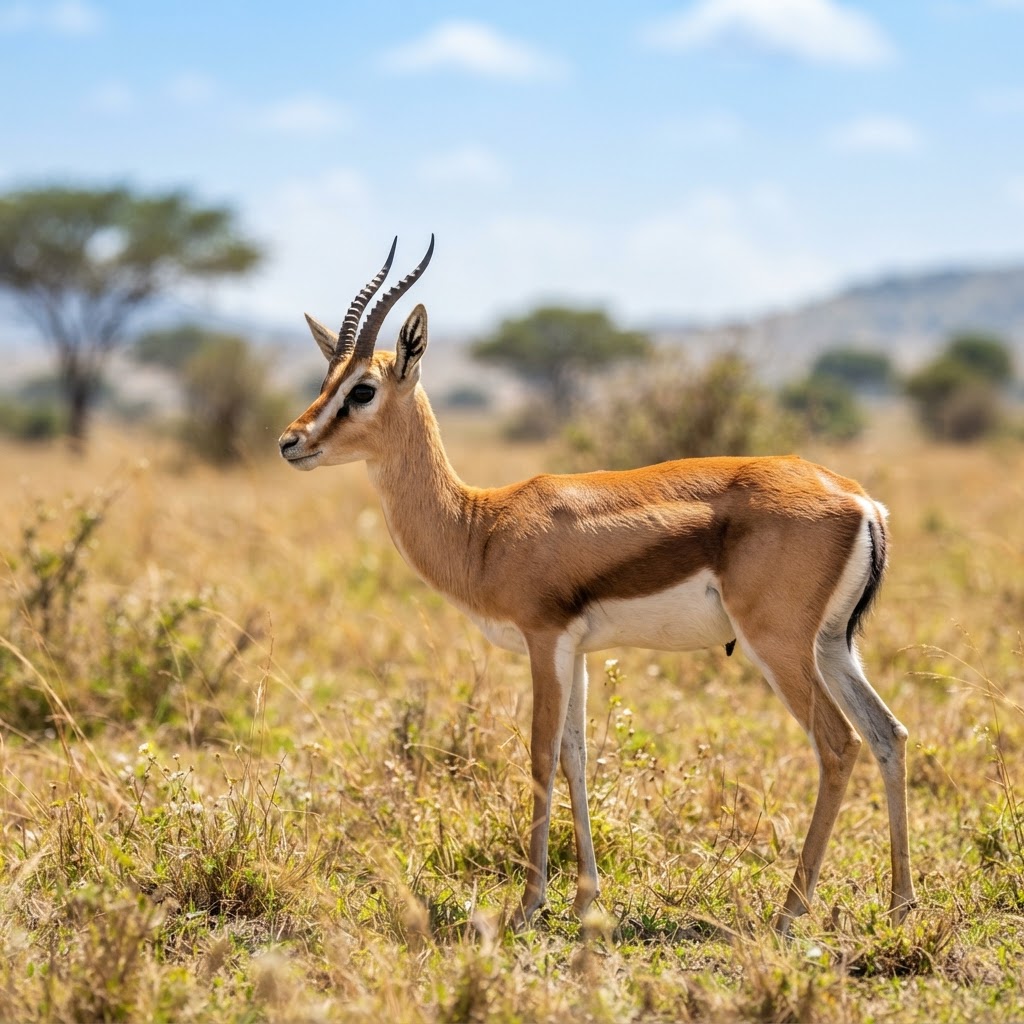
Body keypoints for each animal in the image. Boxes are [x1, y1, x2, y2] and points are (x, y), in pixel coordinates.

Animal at [278, 237, 915, 934]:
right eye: (325, 382)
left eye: (362, 390)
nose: (290, 441)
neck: (483, 527)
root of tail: (861, 501)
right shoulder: (578, 652)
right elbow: (575, 759)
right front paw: (586, 897)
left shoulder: (544, 640)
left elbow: (537, 757)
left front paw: (529, 903)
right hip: (831, 645)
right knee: (887, 734)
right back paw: (900, 903)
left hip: (777, 645)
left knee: (837, 743)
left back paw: (791, 908)